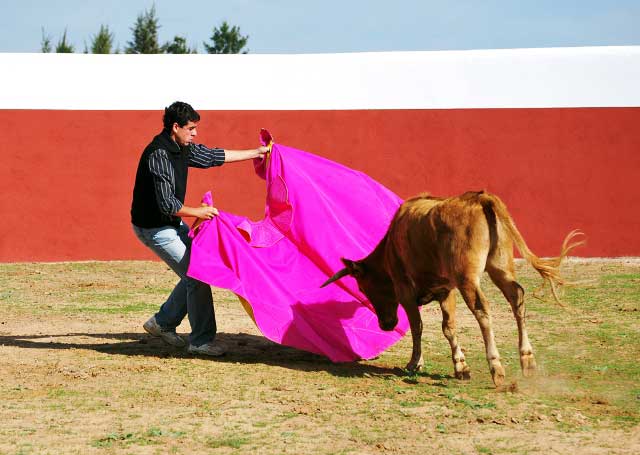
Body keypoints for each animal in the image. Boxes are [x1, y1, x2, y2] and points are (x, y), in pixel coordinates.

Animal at [322, 191, 584, 386]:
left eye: (364, 287)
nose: (386, 325)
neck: (389, 249)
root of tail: (480, 198)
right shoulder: (446, 290)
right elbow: (448, 327)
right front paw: (461, 366)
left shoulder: (405, 290)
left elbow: (417, 326)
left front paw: (415, 363)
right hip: (501, 266)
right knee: (516, 297)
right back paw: (527, 360)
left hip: (468, 278)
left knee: (482, 309)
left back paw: (496, 367)